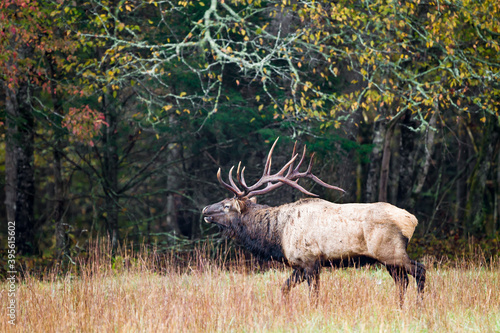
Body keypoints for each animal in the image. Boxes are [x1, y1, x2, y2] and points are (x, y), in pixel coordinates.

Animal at [203, 137, 426, 304]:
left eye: (226, 205)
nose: (205, 209)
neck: (278, 236)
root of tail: (412, 220)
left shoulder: (310, 262)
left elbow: (314, 296)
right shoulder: (300, 266)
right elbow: (284, 289)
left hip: (391, 252)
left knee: (420, 271)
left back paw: (419, 305)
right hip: (389, 260)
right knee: (403, 282)